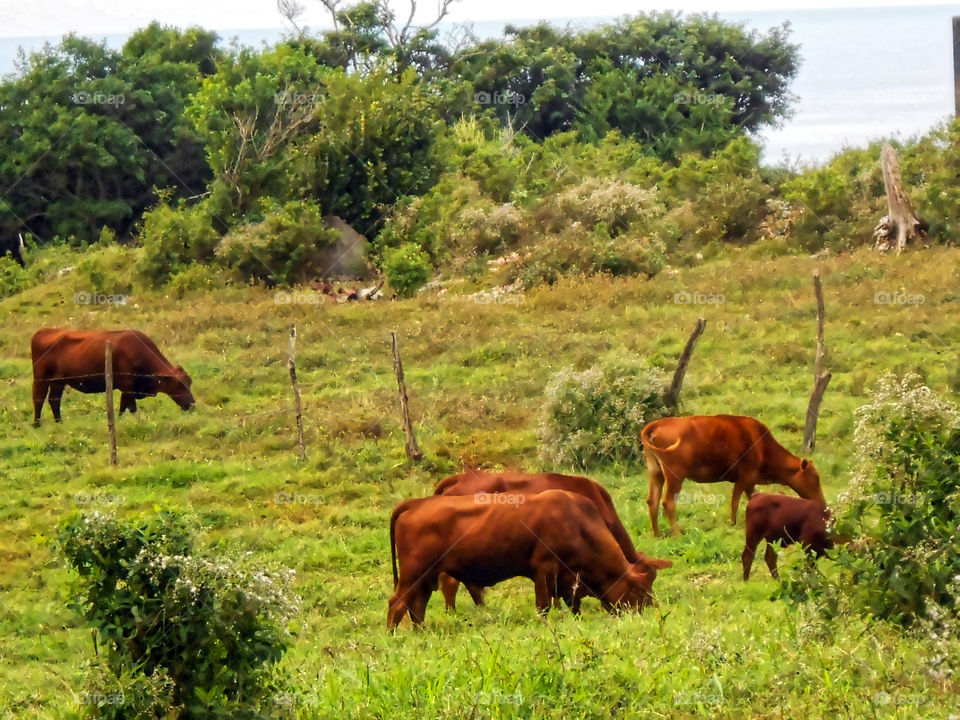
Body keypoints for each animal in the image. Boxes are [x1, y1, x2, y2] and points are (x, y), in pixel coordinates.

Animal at [31, 326, 195, 422]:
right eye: (180, 384)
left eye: (189, 383)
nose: (193, 405)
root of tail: (43, 331)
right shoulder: (128, 386)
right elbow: (131, 408)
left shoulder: (128, 389)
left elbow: (123, 407)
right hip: (41, 379)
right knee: (39, 399)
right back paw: (37, 423)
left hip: (58, 381)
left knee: (54, 400)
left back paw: (59, 421)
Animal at [386, 490, 656, 632]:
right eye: (640, 590)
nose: (650, 612)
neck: (577, 522)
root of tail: (415, 503)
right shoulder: (545, 570)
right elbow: (543, 606)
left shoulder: (568, 580)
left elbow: (573, 605)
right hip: (412, 575)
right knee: (397, 605)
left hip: (424, 579)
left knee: (416, 608)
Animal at [640, 416, 820, 536]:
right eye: (815, 478)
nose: (821, 503)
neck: (762, 446)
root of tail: (657, 424)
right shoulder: (744, 478)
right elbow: (735, 502)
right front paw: (732, 523)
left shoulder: (750, 482)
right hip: (675, 476)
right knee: (668, 502)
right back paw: (677, 534)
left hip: (656, 473)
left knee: (652, 500)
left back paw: (657, 534)